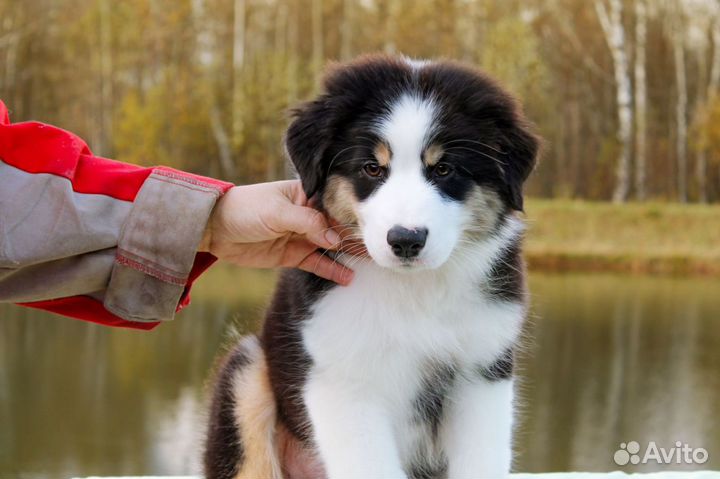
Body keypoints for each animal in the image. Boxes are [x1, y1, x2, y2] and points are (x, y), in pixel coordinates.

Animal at [202, 55, 540, 479]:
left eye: (444, 169)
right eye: (372, 168)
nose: (406, 240)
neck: (412, 291)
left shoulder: (483, 372)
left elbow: (481, 461)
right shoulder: (342, 380)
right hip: (246, 373)